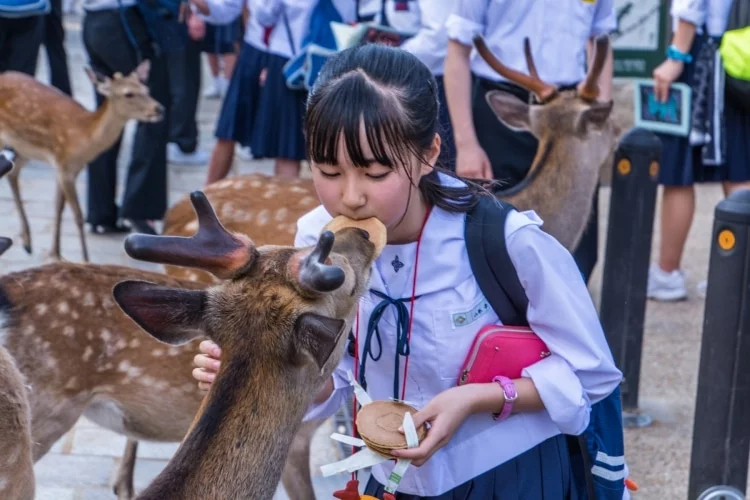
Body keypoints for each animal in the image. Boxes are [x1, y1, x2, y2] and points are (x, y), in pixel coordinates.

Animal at [0, 59, 164, 263]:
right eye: (129, 93)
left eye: (146, 89)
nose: (159, 109)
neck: (83, 137)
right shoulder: (64, 166)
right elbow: (77, 214)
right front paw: (85, 260)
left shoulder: (71, 167)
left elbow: (59, 207)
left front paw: (56, 253)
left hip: (25, 149)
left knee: (13, 173)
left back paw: (27, 241)